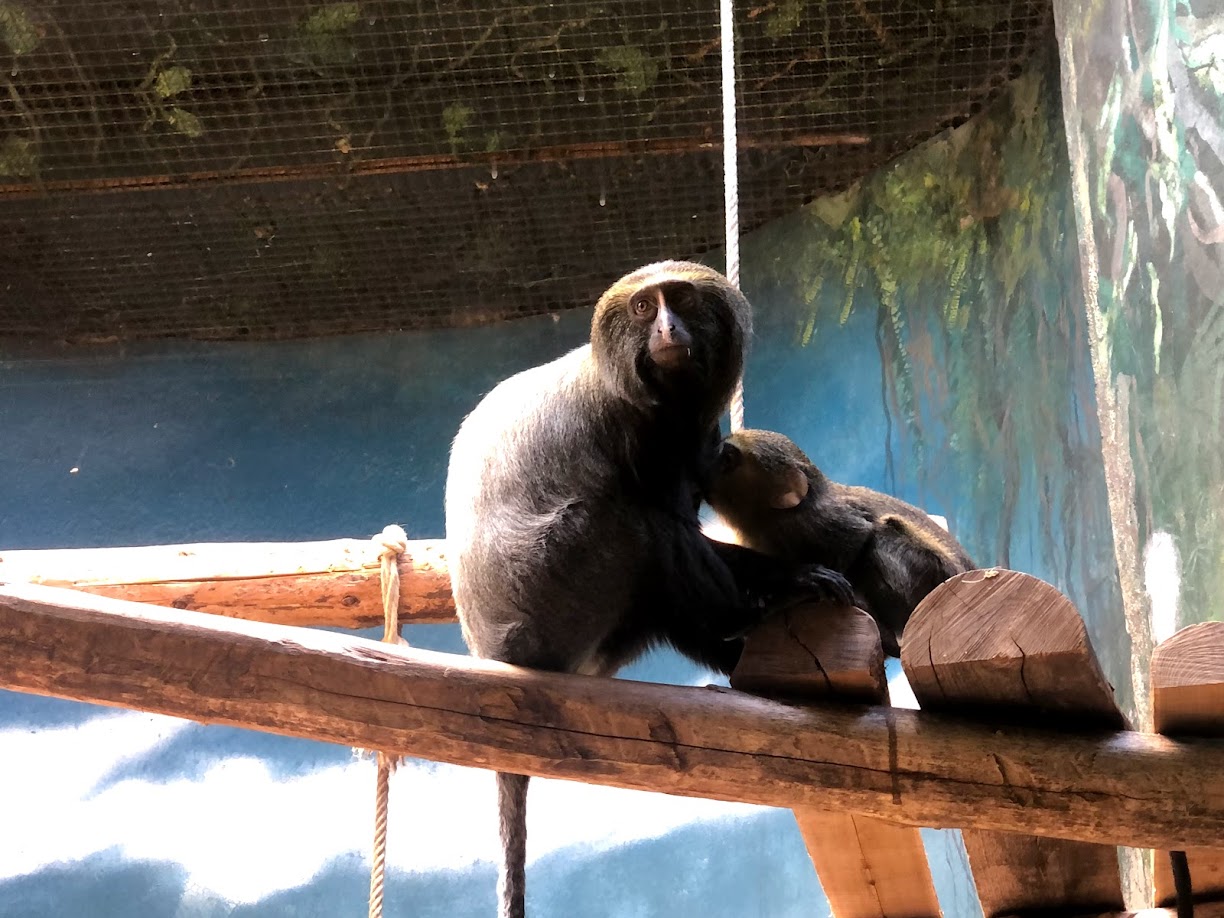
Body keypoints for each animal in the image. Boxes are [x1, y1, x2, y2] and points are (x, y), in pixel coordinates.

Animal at [444, 261, 853, 918]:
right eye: (644, 308)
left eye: (681, 299)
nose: (666, 329)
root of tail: (493, 650)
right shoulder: (636, 434)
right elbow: (672, 523)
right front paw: (790, 582)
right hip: (557, 591)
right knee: (640, 528)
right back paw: (745, 617)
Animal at [701, 427, 975, 657]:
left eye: (728, 458)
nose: (705, 466)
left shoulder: (820, 519)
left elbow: (859, 538)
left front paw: (798, 592)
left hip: (931, 573)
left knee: (882, 532)